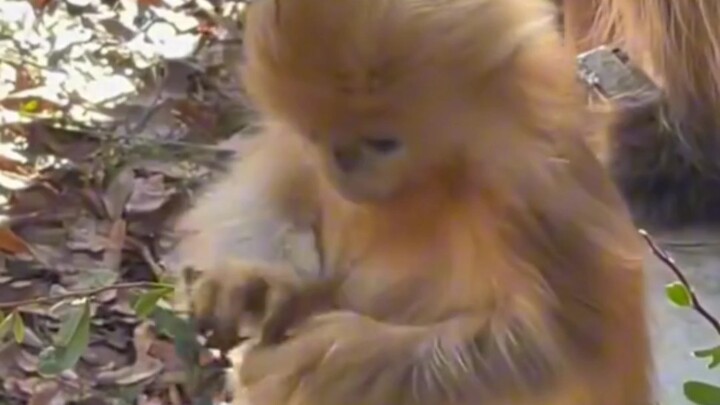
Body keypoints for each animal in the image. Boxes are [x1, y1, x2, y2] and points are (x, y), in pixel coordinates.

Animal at [174, 0, 654, 404]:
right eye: (318, 135)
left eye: (382, 142)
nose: (342, 163)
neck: (438, 177)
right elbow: (273, 185)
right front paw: (250, 282)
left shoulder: (531, 194)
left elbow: (548, 352)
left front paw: (315, 362)